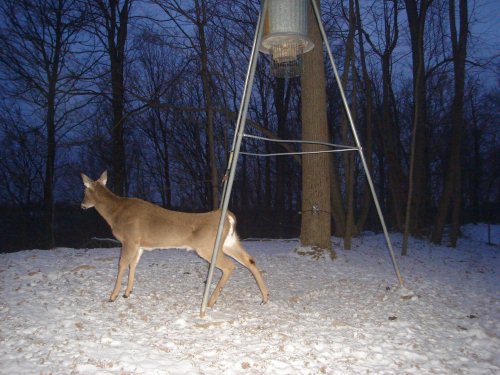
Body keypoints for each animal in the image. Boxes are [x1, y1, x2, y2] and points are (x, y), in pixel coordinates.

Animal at [81, 172, 270, 310]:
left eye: (85, 191)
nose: (82, 205)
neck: (115, 213)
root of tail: (229, 217)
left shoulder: (129, 239)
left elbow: (121, 264)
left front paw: (113, 296)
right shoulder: (139, 245)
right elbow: (133, 264)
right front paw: (128, 292)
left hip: (207, 247)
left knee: (230, 266)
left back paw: (210, 302)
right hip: (229, 242)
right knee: (250, 260)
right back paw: (265, 297)